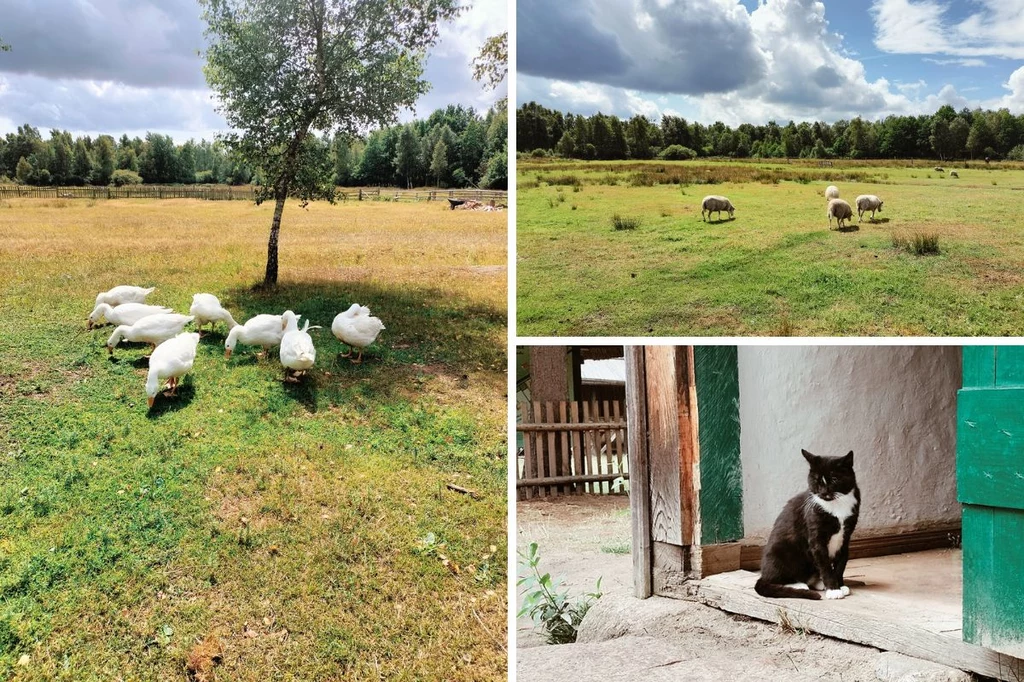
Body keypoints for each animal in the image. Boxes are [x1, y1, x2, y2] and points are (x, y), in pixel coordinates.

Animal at [757, 448, 860, 598]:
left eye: (834, 479)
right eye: (816, 480)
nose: (824, 492)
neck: (837, 505)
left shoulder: (845, 537)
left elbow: (841, 564)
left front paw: (840, 585)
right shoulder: (816, 538)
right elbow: (825, 565)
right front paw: (833, 589)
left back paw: (818, 583)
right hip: (782, 551)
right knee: (773, 580)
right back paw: (799, 585)